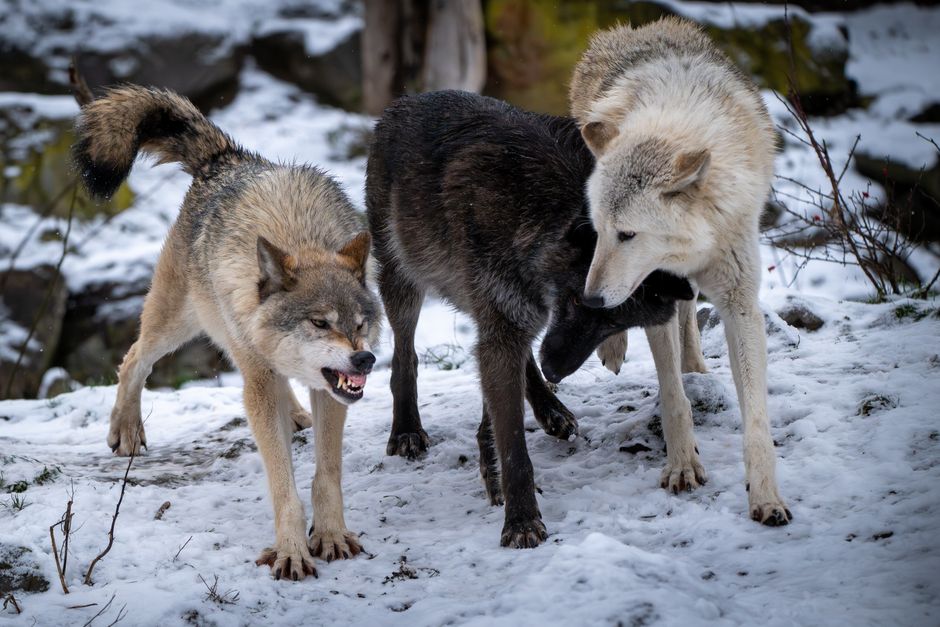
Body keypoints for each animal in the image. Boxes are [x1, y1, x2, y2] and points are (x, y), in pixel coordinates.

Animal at [73, 86, 381, 579]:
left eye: (359, 324)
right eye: (319, 323)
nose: (365, 359)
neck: (299, 236)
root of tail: (226, 157)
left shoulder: (330, 390)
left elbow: (326, 474)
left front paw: (331, 535)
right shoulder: (261, 375)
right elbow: (283, 485)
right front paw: (292, 550)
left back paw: (294, 414)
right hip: (180, 321)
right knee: (134, 358)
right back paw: (126, 428)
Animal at [366, 89, 692, 548]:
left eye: (614, 325)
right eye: (578, 301)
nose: (557, 369)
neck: (538, 210)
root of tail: (407, 100)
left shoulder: (512, 320)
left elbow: (501, 413)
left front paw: (495, 467)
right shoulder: (503, 324)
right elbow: (513, 443)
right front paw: (520, 519)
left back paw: (550, 408)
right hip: (404, 280)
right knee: (404, 355)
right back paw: (407, 430)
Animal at [569, 17, 792, 525]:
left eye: (628, 235)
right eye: (601, 231)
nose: (589, 300)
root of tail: (638, 27)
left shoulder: (740, 303)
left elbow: (756, 419)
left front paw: (766, 496)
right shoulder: (654, 295)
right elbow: (673, 398)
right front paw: (682, 466)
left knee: (691, 320)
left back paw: (697, 366)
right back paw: (615, 345)